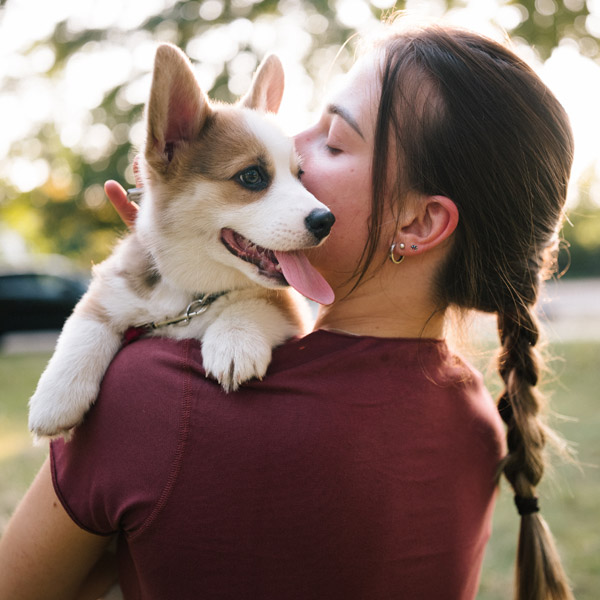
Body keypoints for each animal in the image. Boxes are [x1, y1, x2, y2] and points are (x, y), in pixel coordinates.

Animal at [28, 44, 336, 440]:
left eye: (301, 175)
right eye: (252, 176)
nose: (326, 220)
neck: (192, 293)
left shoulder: (291, 308)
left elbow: (255, 303)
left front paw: (233, 341)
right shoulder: (114, 283)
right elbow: (86, 323)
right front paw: (56, 398)